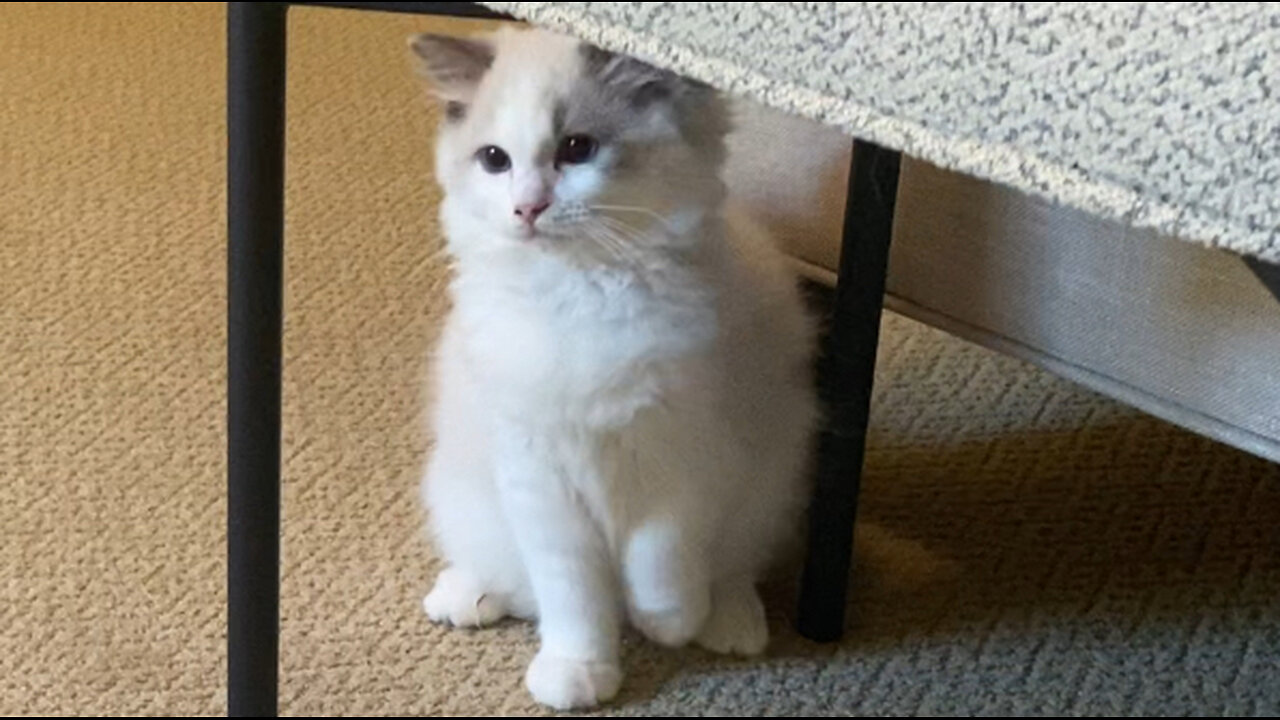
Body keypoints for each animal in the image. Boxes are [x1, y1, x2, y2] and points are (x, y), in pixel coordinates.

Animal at [409, 26, 814, 707]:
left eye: (577, 149)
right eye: (494, 160)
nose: (527, 208)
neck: (581, 291)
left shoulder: (683, 451)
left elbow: (661, 556)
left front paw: (668, 623)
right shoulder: (538, 474)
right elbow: (575, 596)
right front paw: (578, 672)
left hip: (768, 481)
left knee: (735, 566)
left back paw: (728, 623)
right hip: (464, 491)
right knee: (512, 579)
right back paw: (467, 596)